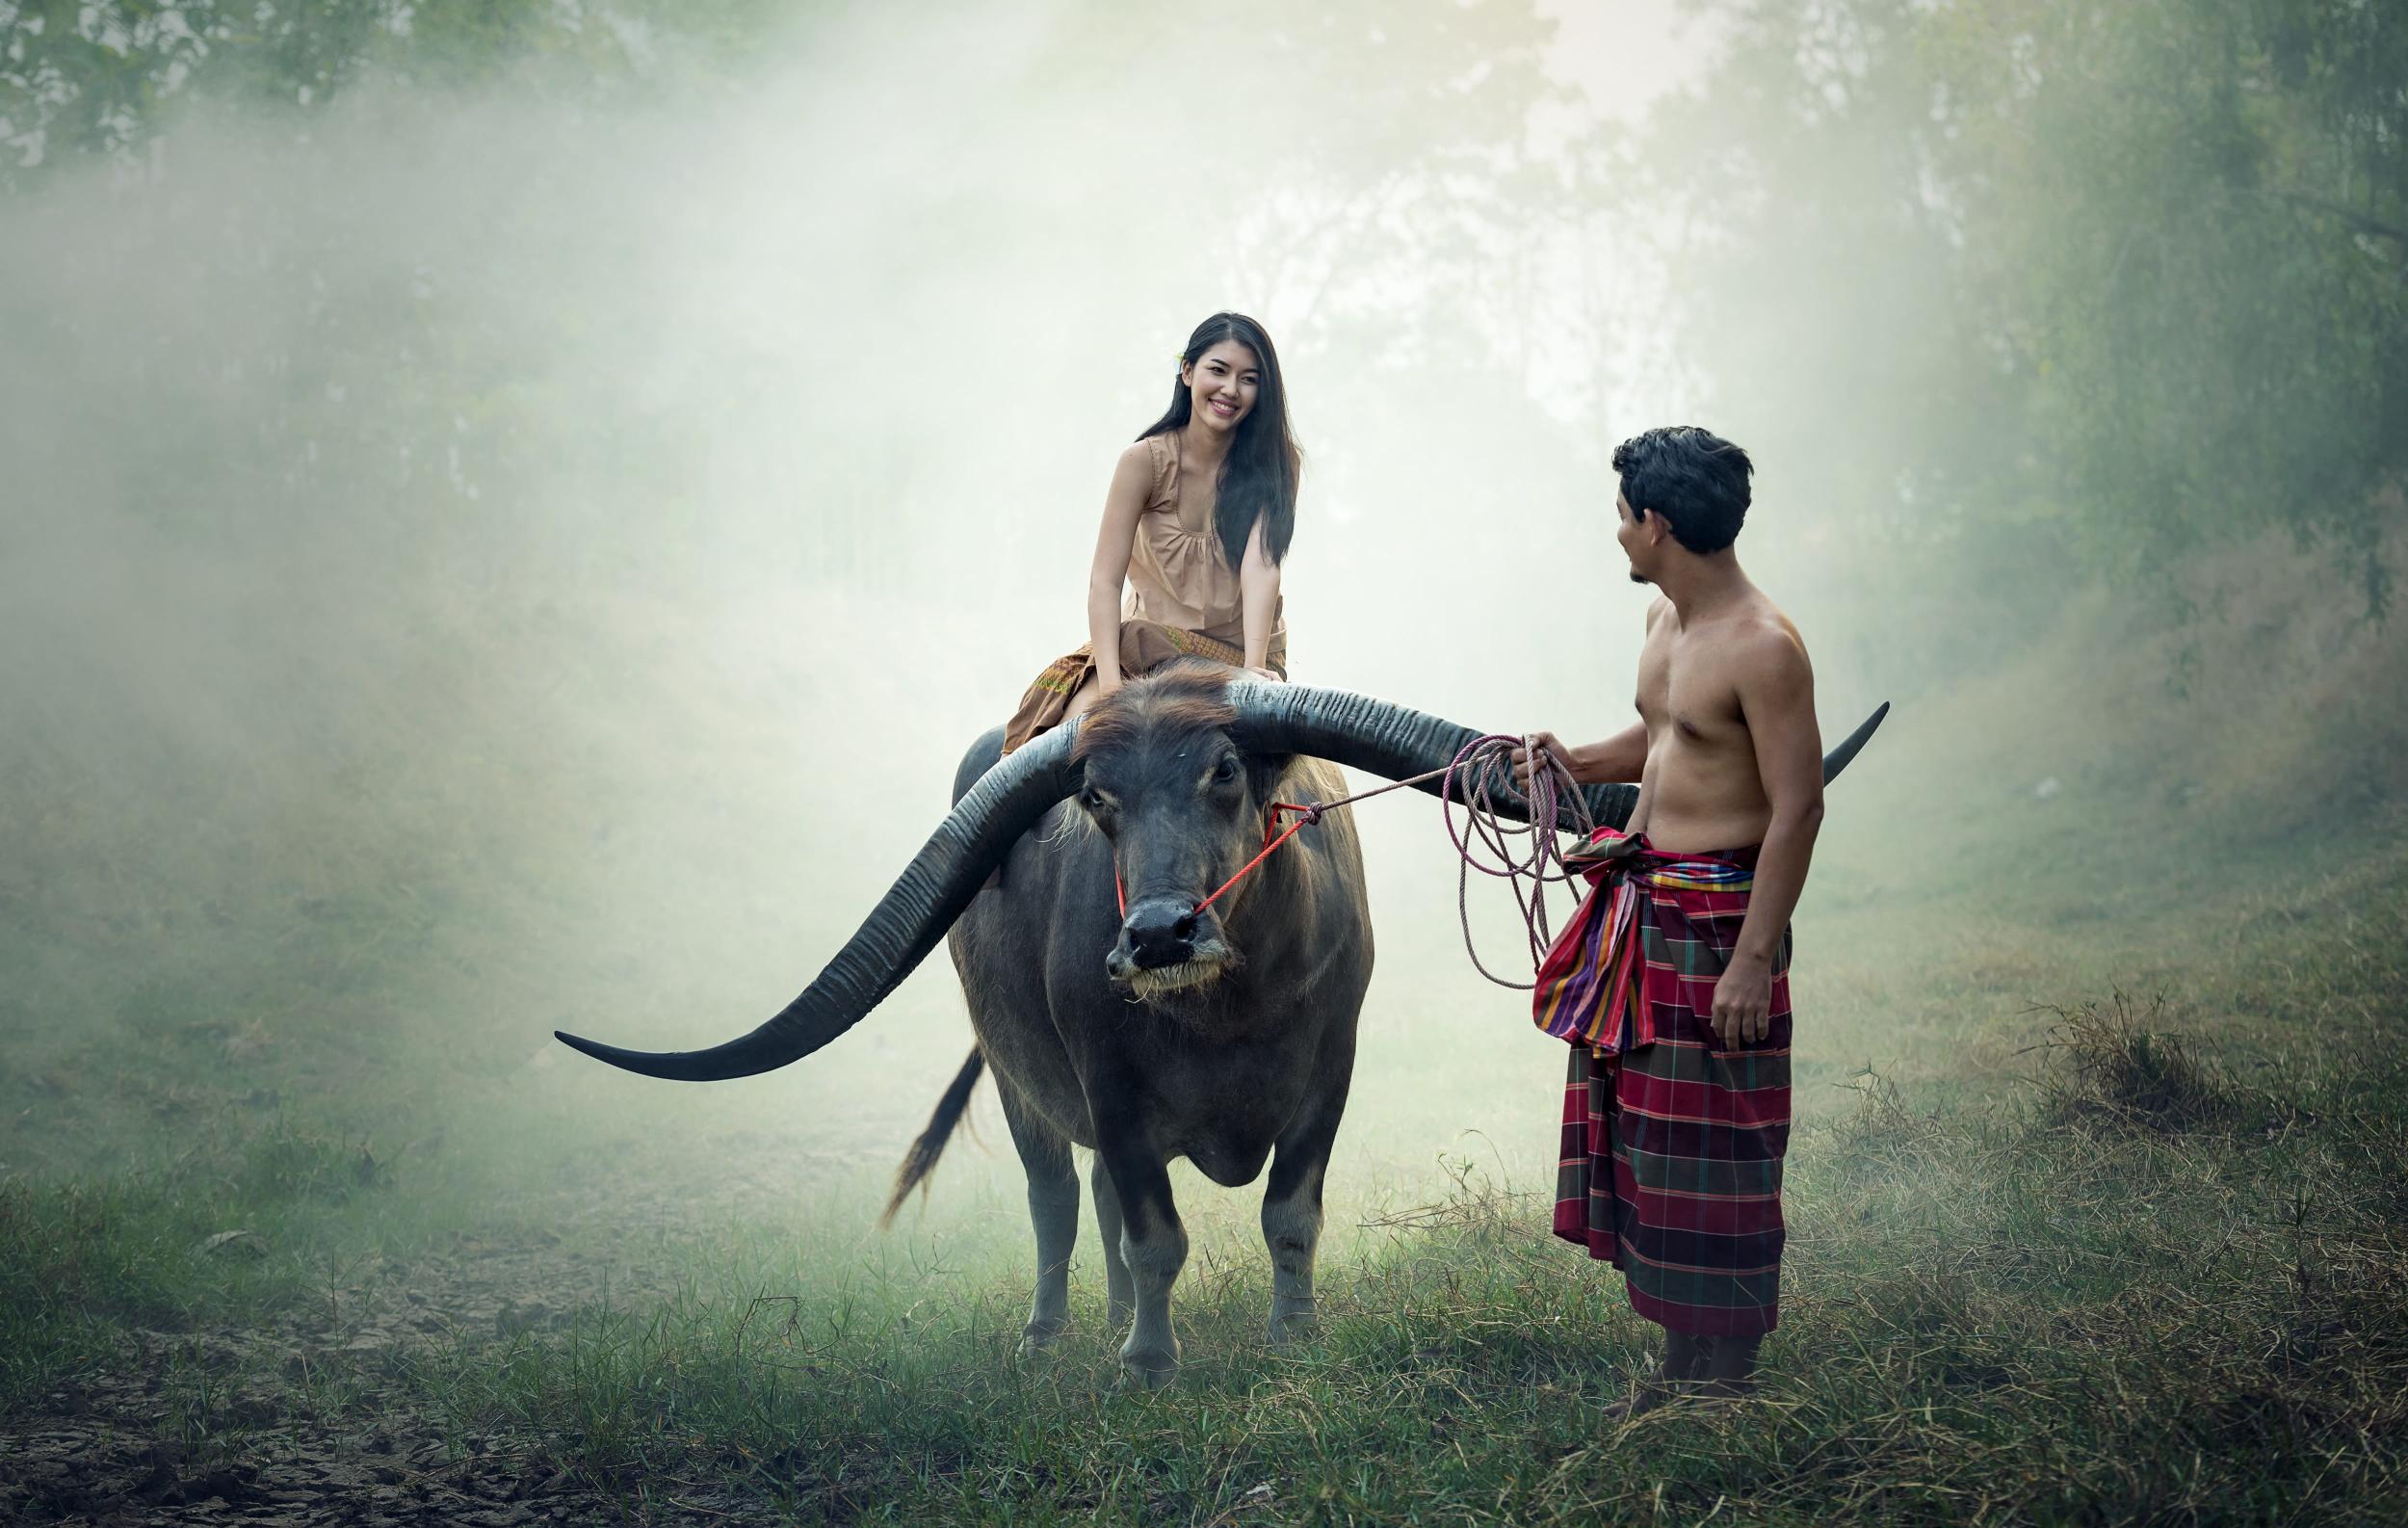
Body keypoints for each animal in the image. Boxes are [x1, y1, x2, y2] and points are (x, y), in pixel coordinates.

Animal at [554, 665, 1888, 1378]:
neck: (1230, 1007)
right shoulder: (1108, 1087)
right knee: (1058, 1201)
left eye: (1226, 771)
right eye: (1095, 798)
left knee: (1091, 1202)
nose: (1154, 935)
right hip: (1026, 1089)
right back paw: (1055, 1334)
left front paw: (1291, 1337)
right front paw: (1148, 1358)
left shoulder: (1331, 1072)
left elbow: (1288, 1214)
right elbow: (1154, 1233)